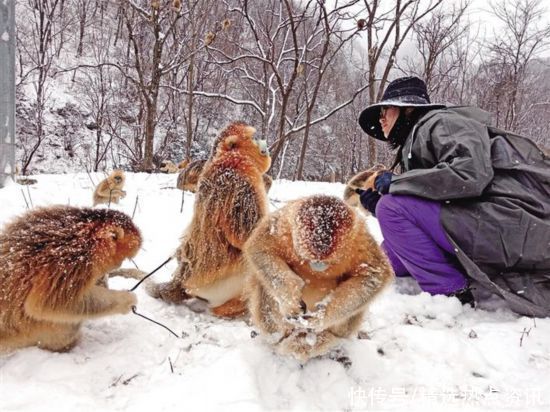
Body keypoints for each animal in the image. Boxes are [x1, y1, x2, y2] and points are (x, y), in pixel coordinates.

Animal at [0, 206, 144, 350]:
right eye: (123, 258)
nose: (118, 265)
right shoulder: (72, 260)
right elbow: (46, 304)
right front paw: (125, 300)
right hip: (30, 333)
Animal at [150, 120, 272, 318]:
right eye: (253, 138)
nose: (263, 143)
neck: (230, 157)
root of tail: (181, 282)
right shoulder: (240, 185)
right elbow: (246, 236)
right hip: (218, 288)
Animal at [244, 196, 394, 360]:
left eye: (326, 260)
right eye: (311, 259)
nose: (318, 265)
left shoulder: (359, 237)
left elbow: (374, 274)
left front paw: (321, 317)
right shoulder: (284, 223)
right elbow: (260, 247)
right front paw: (291, 299)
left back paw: (327, 341)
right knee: (265, 286)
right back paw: (279, 338)